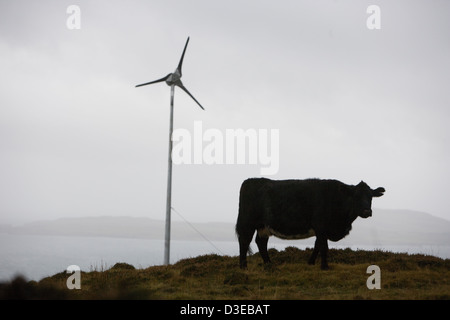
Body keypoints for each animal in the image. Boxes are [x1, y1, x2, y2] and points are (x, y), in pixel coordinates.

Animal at [234, 179, 384, 268]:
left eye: (370, 196)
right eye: (356, 196)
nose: (367, 211)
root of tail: (251, 180)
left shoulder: (321, 230)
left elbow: (317, 245)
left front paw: (311, 263)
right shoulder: (321, 226)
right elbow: (324, 247)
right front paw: (324, 267)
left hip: (263, 226)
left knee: (261, 242)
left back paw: (269, 264)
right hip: (247, 222)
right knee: (245, 241)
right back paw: (243, 266)